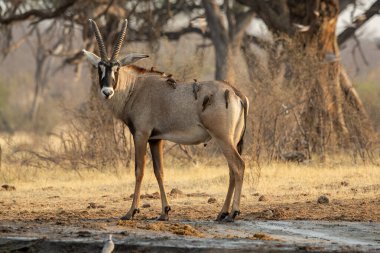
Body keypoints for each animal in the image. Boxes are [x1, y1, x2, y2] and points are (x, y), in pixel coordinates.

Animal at [83, 19, 249, 221]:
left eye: (117, 68)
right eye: (99, 68)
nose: (107, 91)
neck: (134, 88)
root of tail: (236, 93)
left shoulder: (141, 135)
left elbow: (139, 171)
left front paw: (131, 211)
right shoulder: (156, 139)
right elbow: (159, 172)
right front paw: (164, 212)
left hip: (223, 138)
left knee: (238, 166)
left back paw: (233, 212)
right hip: (232, 140)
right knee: (232, 170)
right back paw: (222, 213)